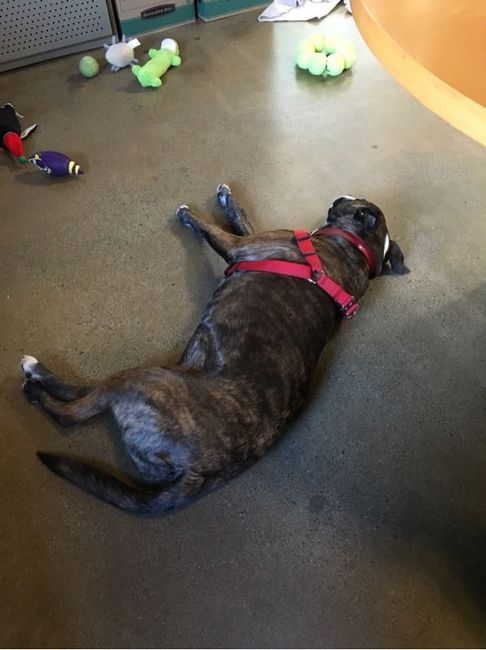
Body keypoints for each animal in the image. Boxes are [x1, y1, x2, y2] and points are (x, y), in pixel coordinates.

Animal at [21, 186, 408, 515]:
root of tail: (196, 472)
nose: (342, 194)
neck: (355, 252)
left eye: (358, 202)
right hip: (165, 372)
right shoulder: (252, 237)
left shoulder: (242, 246)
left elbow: (211, 231)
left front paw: (190, 215)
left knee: (72, 413)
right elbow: (242, 217)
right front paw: (227, 198)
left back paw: (35, 377)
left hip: (143, 380)